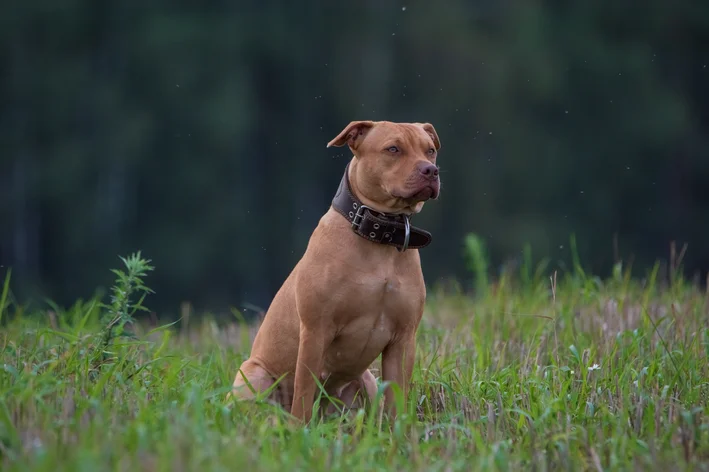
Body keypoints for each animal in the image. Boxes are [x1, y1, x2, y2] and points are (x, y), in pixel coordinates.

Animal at [230, 120, 440, 422]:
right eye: (393, 149)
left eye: (430, 150)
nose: (430, 170)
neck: (380, 240)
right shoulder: (315, 331)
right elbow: (304, 394)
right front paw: (299, 430)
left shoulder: (403, 339)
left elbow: (396, 400)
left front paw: (398, 431)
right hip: (254, 376)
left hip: (367, 381)